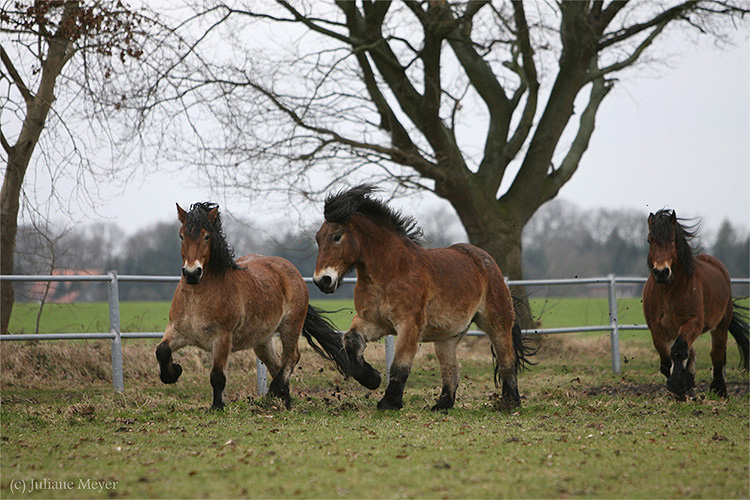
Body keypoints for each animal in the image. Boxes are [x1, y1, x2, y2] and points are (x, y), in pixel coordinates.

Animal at [156, 203, 356, 410]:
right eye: (181, 236)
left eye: (206, 236)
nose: (192, 273)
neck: (197, 297)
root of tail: (291, 270)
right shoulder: (177, 331)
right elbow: (161, 351)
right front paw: (174, 372)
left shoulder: (222, 339)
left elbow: (217, 376)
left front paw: (217, 407)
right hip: (262, 339)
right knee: (276, 365)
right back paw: (285, 403)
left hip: (290, 326)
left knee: (291, 358)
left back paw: (274, 392)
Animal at [314, 186, 536, 412]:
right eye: (318, 238)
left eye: (337, 236)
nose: (322, 280)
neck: (391, 272)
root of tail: (486, 261)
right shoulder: (372, 322)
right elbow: (351, 341)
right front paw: (372, 378)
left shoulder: (409, 325)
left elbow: (400, 365)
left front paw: (389, 402)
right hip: (448, 338)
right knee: (451, 369)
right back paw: (443, 404)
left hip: (496, 324)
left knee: (506, 360)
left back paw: (510, 402)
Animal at [644, 209, 748, 400]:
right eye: (650, 240)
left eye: (672, 240)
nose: (662, 272)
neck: (668, 292)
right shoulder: (657, 330)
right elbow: (667, 361)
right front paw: (682, 389)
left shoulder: (693, 322)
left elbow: (678, 351)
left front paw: (677, 386)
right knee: (691, 353)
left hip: (721, 326)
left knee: (717, 354)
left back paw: (719, 390)